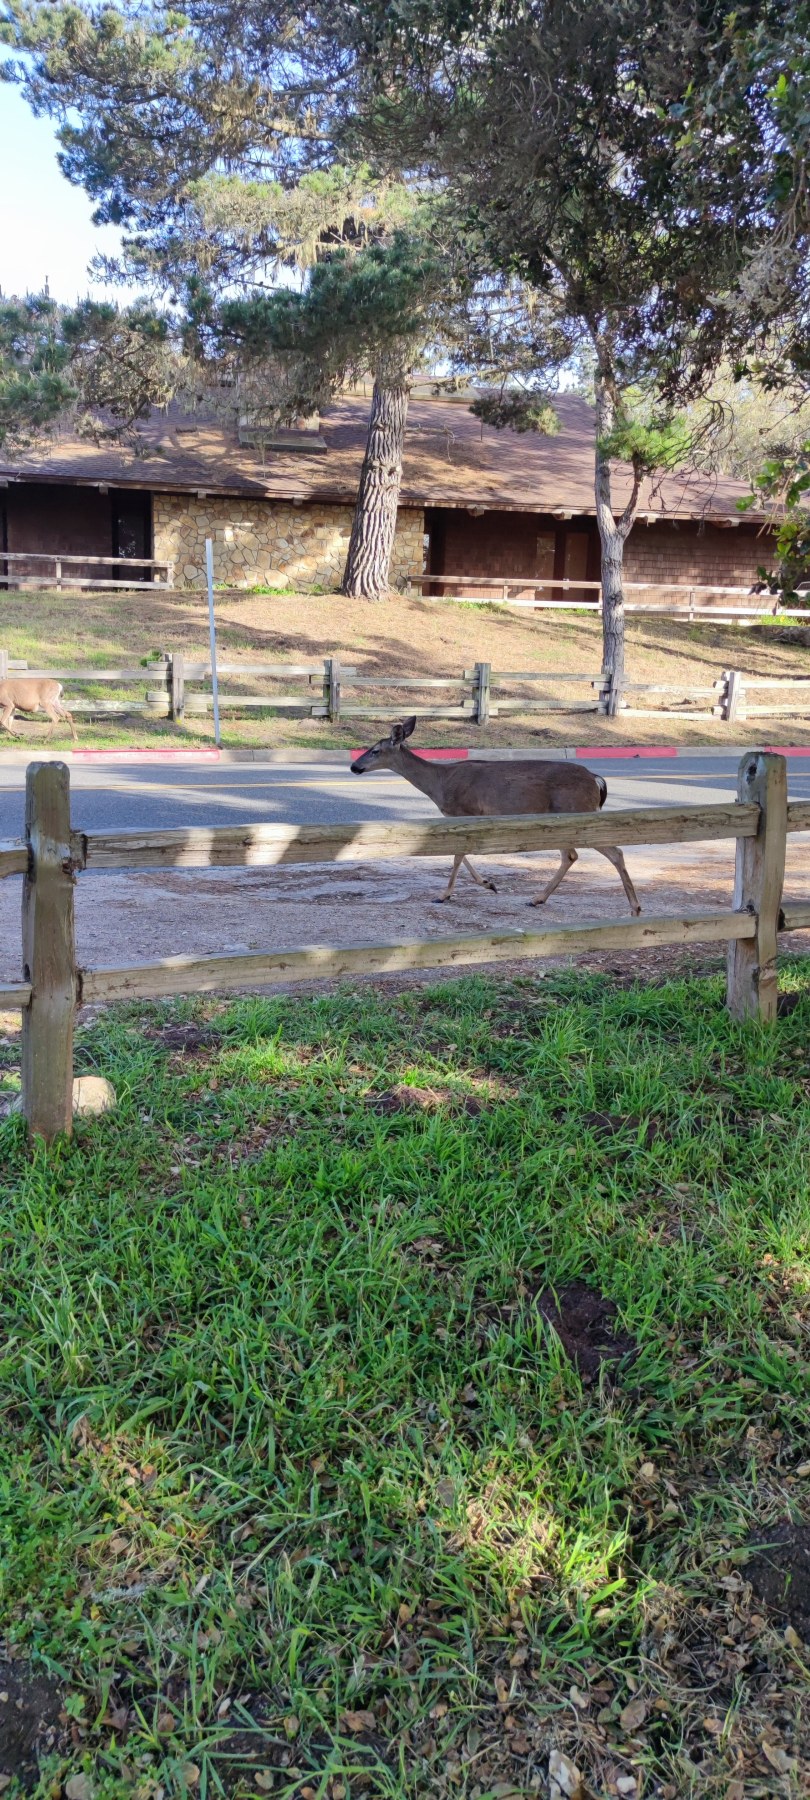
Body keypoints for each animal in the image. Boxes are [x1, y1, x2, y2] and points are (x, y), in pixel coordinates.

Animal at [350, 717, 641, 913]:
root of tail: (596, 779)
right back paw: (537, 898)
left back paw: (635, 907)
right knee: (571, 855)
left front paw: (444, 894)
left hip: (578, 811)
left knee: (613, 851)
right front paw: (488, 883)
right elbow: (461, 855)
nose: (354, 766)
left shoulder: (463, 811)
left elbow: (457, 855)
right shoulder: (460, 817)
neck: (439, 783)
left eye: (375, 750)